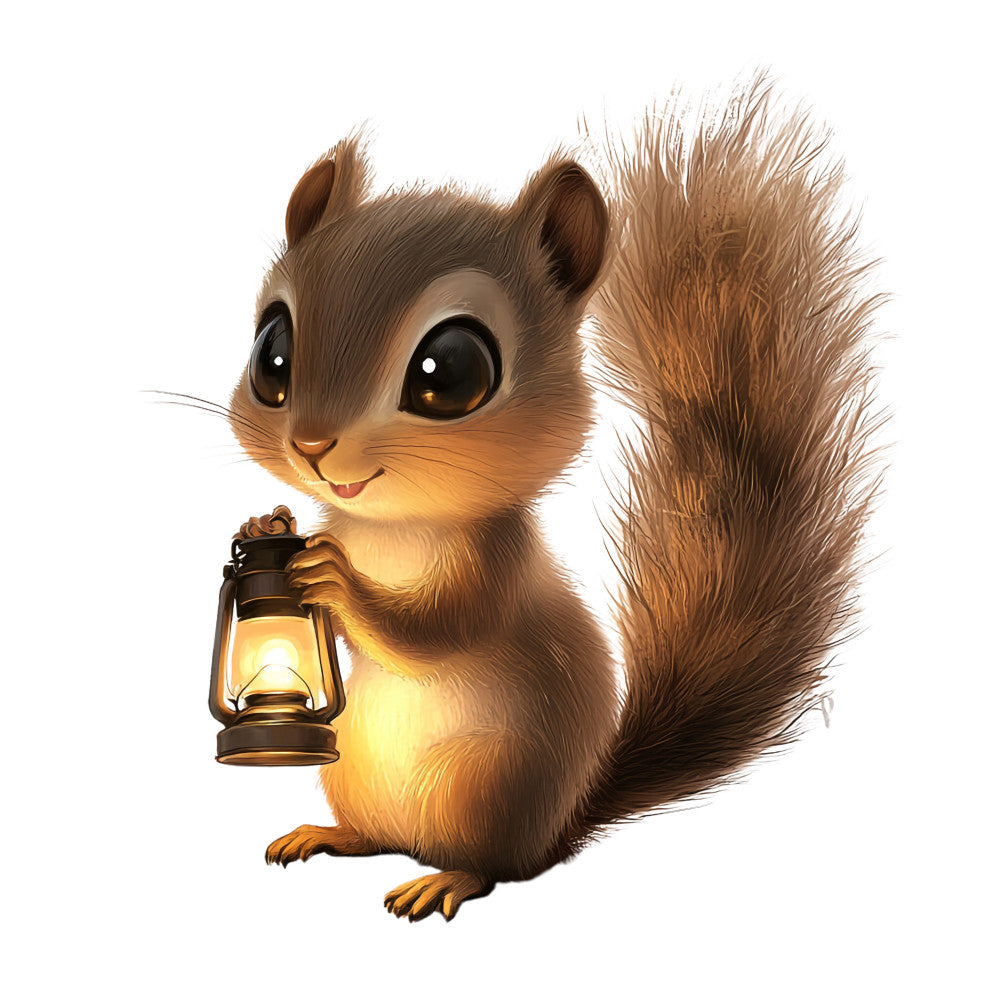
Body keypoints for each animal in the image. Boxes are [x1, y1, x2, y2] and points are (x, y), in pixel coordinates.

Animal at [225, 80, 879, 921]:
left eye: (450, 371)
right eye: (271, 351)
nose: (310, 445)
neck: (389, 527)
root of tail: (566, 820)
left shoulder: (497, 565)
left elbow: (437, 632)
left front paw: (336, 577)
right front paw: (269, 525)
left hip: (490, 785)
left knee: (494, 865)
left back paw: (444, 878)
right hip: (350, 767)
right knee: (377, 836)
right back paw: (331, 835)